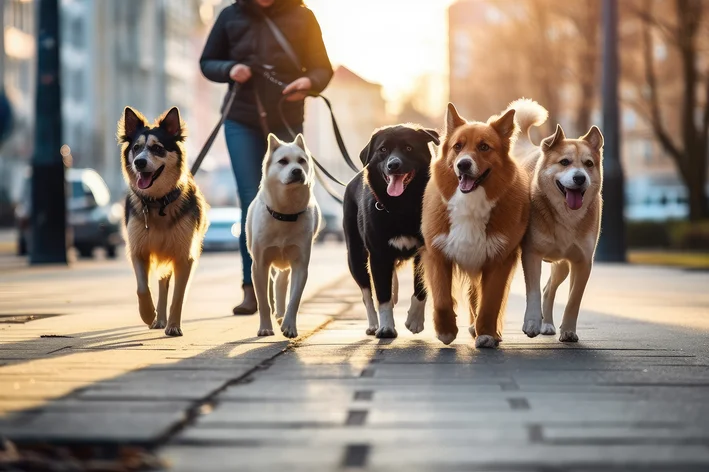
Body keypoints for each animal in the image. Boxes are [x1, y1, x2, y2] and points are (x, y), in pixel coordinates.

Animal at [116, 107, 207, 336]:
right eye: (136, 148)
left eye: (157, 148)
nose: (139, 162)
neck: (158, 203)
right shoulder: (138, 249)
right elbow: (142, 288)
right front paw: (149, 314)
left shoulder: (183, 256)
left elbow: (178, 295)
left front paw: (173, 326)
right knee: (161, 284)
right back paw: (158, 319)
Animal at [245, 133, 320, 340]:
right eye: (283, 161)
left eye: (302, 161)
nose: (297, 171)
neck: (286, 213)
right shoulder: (259, 265)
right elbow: (263, 301)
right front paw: (265, 328)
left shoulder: (300, 265)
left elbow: (294, 299)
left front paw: (289, 326)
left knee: (280, 282)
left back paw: (280, 314)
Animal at [342, 125, 436, 338]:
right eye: (383, 150)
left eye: (409, 148)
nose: (393, 165)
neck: (402, 206)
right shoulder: (378, 256)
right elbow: (382, 296)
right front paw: (386, 328)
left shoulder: (425, 251)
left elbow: (420, 289)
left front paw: (414, 320)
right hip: (355, 256)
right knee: (367, 294)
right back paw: (373, 324)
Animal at [508, 99, 604, 342]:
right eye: (564, 162)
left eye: (589, 164)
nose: (579, 178)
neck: (566, 216)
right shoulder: (531, 254)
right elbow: (532, 291)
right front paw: (532, 323)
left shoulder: (583, 261)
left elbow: (573, 300)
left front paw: (568, 330)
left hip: (562, 265)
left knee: (549, 289)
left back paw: (549, 324)